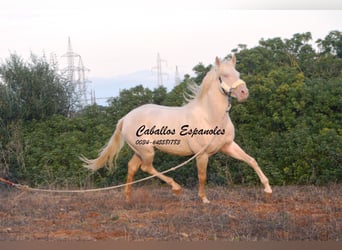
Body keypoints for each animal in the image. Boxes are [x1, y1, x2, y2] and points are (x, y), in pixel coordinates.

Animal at [81, 55, 272, 203]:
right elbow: (202, 175)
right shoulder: (202, 154)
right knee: (146, 168)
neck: (210, 116)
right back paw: (176, 188)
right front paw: (204, 199)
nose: (244, 93)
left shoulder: (228, 146)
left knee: (132, 167)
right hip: (147, 151)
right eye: (224, 75)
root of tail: (125, 118)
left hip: (140, 151)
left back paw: (128, 197)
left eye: (237, 73)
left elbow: (251, 160)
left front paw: (267, 189)